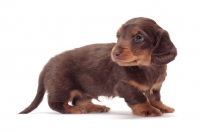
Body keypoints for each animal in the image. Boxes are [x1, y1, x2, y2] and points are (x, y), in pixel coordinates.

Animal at [19, 17, 177, 116]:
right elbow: (140, 98)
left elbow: (155, 98)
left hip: (87, 87)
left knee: (80, 100)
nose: (114, 53)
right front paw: (148, 109)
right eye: (118, 36)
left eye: (138, 37)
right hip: (62, 87)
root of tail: (48, 63)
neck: (146, 66)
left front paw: (162, 107)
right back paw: (73, 110)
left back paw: (95, 107)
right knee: (55, 103)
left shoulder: (156, 86)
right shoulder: (125, 86)